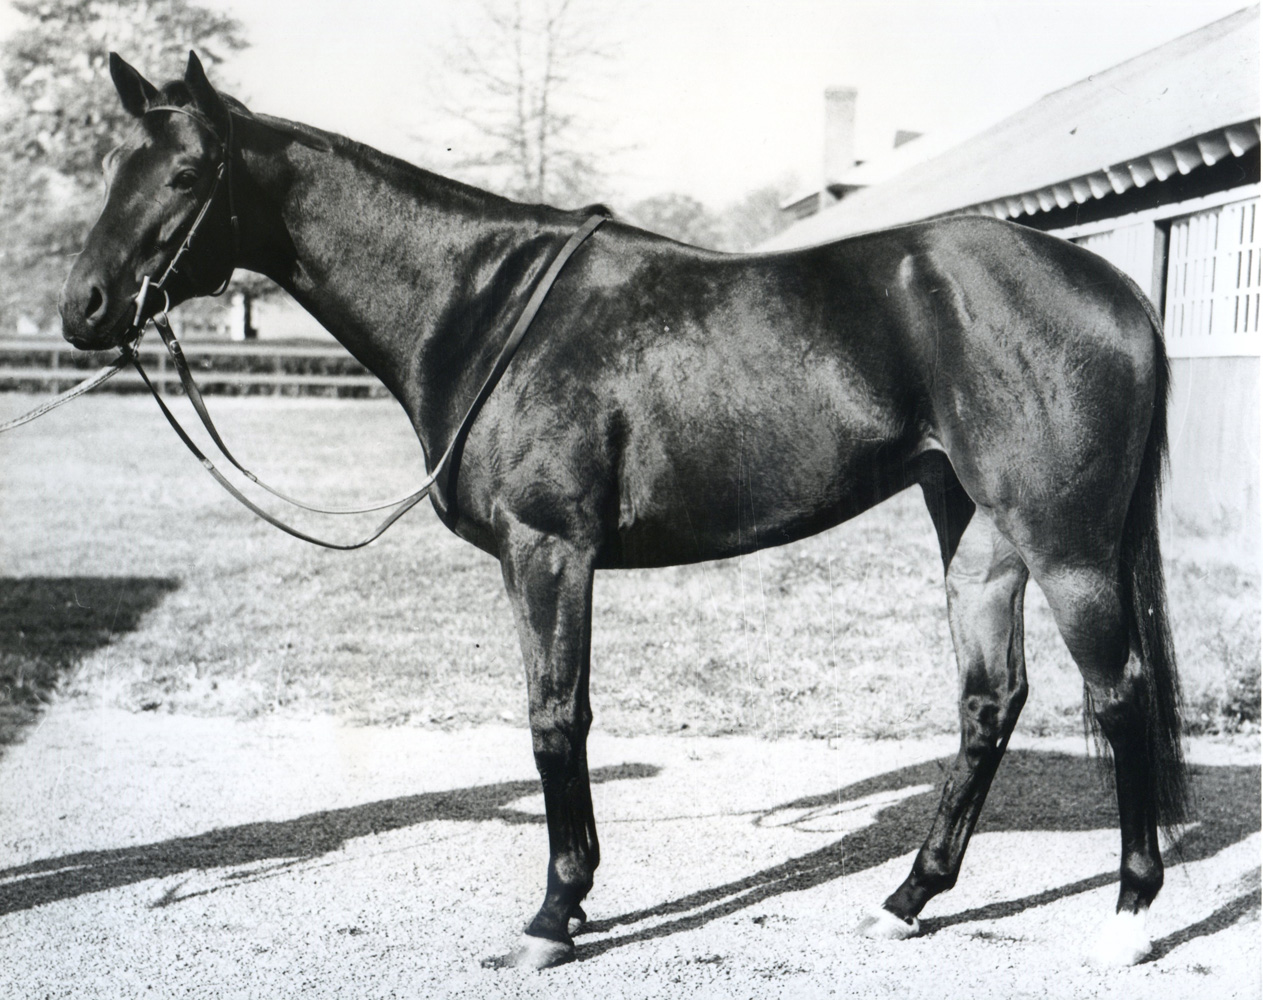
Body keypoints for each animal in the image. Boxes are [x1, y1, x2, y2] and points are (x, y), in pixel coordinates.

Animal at [59, 52, 1182, 969]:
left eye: (188, 174)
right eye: (117, 166)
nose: (84, 307)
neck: (487, 306)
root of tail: (1110, 284)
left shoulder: (547, 550)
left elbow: (556, 719)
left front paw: (555, 914)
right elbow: (562, 715)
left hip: (1066, 546)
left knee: (1118, 695)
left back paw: (1129, 915)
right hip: (978, 534)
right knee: (991, 701)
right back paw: (906, 898)